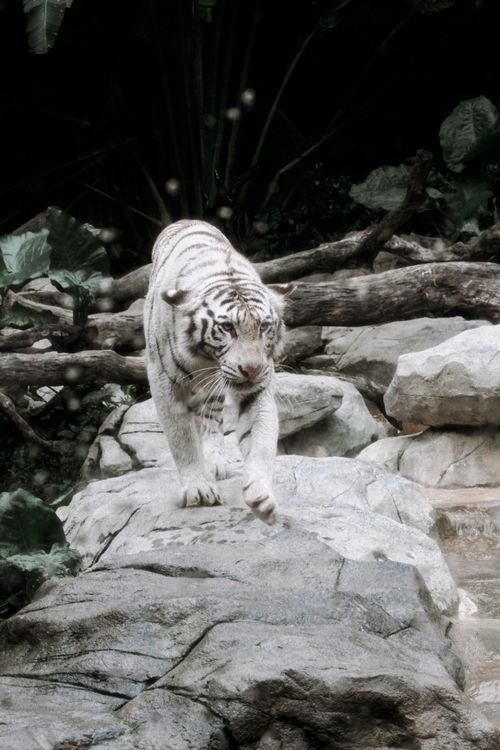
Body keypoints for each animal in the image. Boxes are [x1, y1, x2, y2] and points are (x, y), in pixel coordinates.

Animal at [144, 219, 293, 524]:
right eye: (227, 328)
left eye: (264, 327)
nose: (252, 369)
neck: (207, 358)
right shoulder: (163, 381)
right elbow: (182, 439)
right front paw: (198, 489)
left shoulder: (256, 389)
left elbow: (260, 439)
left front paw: (261, 496)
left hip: (213, 393)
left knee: (211, 421)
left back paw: (214, 461)